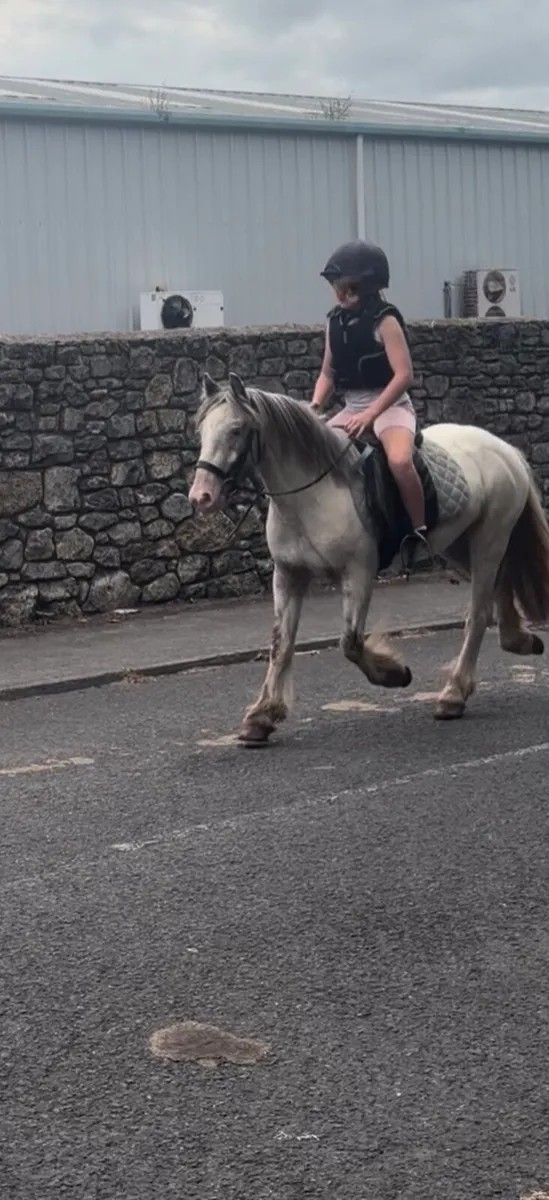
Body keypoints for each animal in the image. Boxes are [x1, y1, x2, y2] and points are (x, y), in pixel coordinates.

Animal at [189, 371, 549, 746]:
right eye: (201, 430)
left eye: (235, 430)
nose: (201, 496)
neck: (312, 495)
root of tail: (505, 449)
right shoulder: (288, 575)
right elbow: (280, 643)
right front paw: (261, 717)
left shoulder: (358, 573)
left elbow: (350, 642)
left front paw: (395, 674)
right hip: (460, 546)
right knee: (500, 584)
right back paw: (518, 640)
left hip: (488, 540)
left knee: (478, 615)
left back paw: (453, 694)